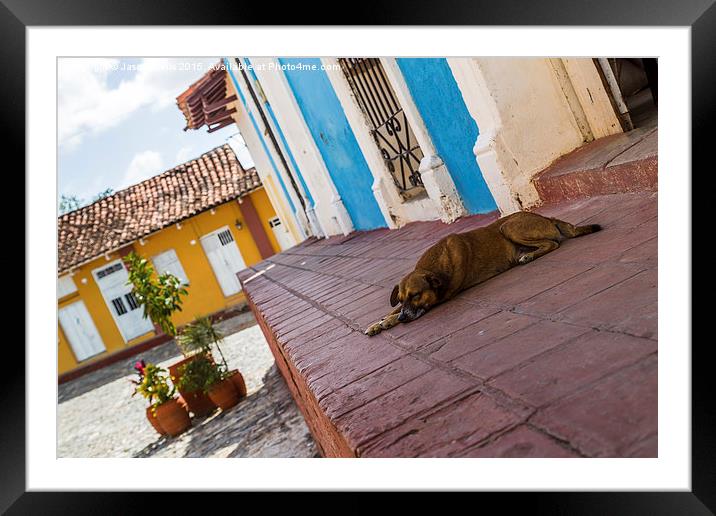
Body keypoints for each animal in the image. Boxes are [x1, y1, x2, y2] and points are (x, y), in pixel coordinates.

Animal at [364, 209, 600, 334]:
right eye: (401, 298)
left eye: (416, 295)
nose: (404, 318)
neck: (431, 267)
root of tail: (545, 217)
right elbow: (390, 311)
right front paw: (379, 322)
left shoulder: (439, 299)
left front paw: (389, 322)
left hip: (508, 227)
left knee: (552, 243)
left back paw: (529, 256)